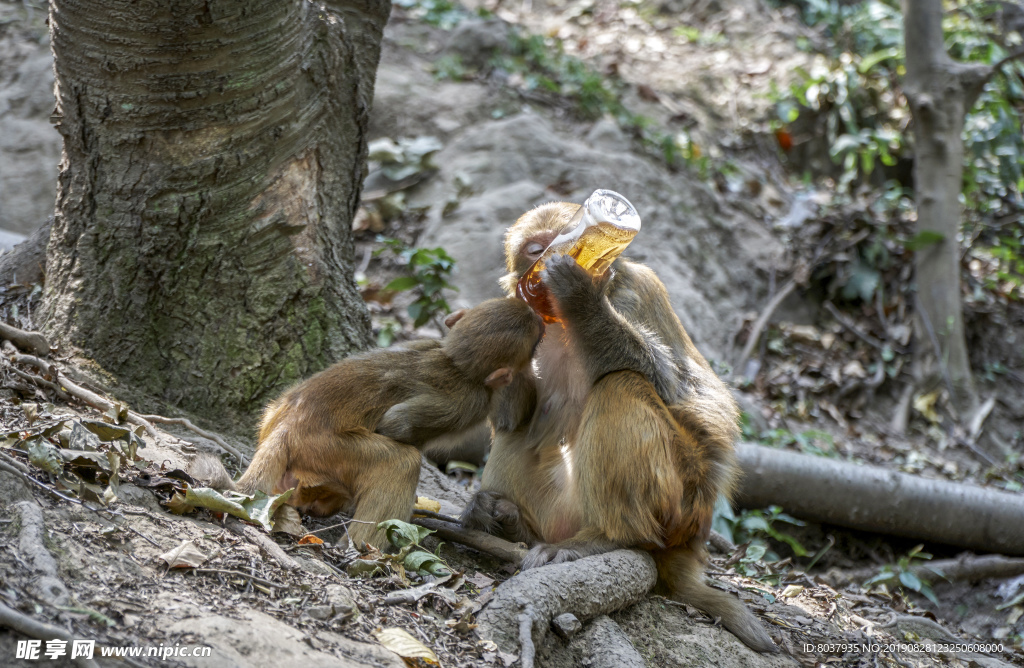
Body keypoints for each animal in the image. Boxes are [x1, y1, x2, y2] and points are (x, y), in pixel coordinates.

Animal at [192, 297, 544, 549]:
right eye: (536, 341)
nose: (542, 320)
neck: (453, 361)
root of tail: (286, 427)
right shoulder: (471, 401)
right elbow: (396, 426)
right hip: (329, 449)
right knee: (402, 461)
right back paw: (362, 551)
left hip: (277, 414)